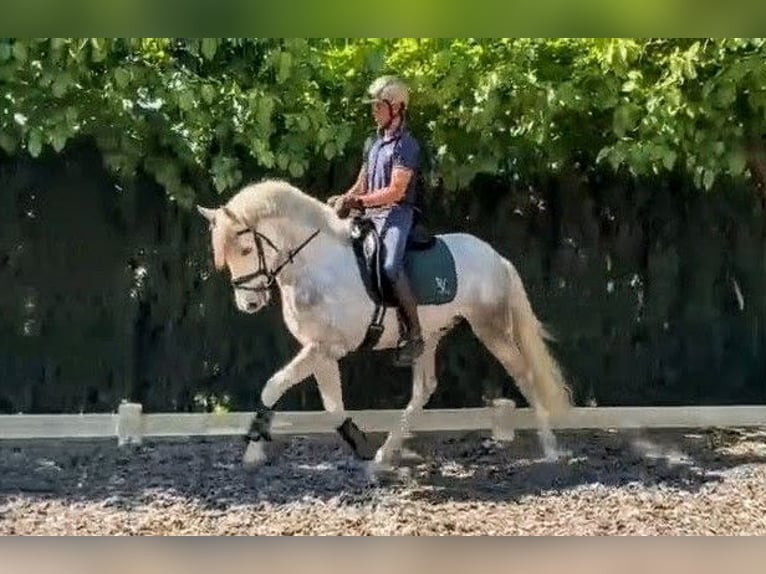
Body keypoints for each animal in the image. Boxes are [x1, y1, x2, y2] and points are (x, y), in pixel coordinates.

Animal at [196, 178, 573, 474]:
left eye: (247, 248)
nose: (249, 304)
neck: (316, 265)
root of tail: (496, 257)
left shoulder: (326, 348)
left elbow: (272, 387)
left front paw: (253, 450)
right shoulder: (320, 350)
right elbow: (332, 405)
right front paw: (360, 445)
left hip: (489, 326)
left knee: (524, 374)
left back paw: (551, 449)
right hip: (429, 336)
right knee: (423, 389)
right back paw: (384, 454)